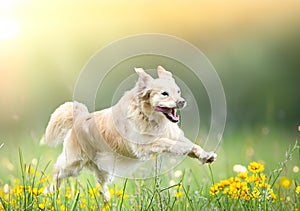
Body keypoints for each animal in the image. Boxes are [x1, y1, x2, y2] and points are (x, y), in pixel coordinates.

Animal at [42, 65, 216, 199]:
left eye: (178, 91)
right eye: (164, 93)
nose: (182, 102)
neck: (150, 118)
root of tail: (79, 118)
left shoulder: (171, 134)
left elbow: (192, 146)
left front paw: (206, 156)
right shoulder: (143, 145)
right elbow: (170, 144)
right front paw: (185, 149)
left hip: (102, 169)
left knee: (101, 186)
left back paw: (107, 200)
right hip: (73, 163)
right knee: (56, 172)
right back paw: (48, 192)